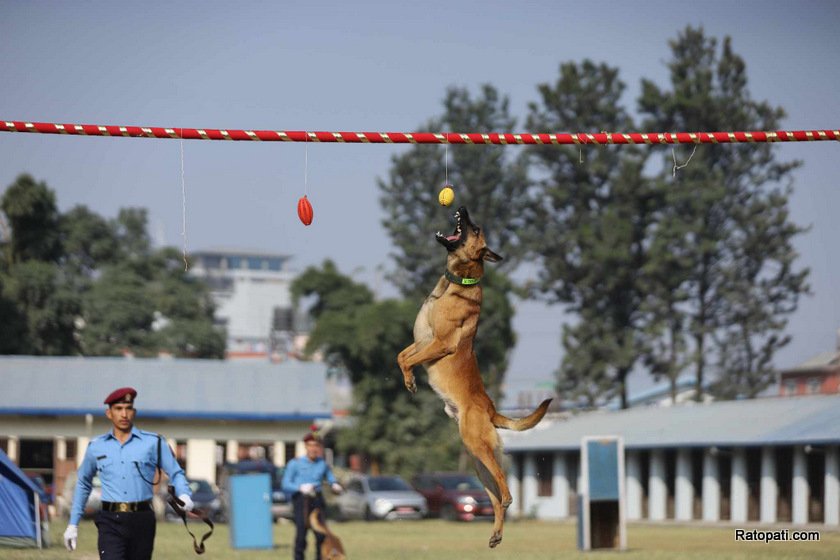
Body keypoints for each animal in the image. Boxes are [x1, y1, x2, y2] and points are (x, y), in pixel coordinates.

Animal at [398, 206, 556, 548]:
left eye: (476, 228)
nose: (462, 208)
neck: (459, 281)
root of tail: (492, 410)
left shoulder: (439, 343)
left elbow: (407, 360)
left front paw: (410, 380)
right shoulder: (422, 341)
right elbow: (402, 356)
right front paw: (409, 379)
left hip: (477, 447)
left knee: (504, 488)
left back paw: (507, 504)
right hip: (477, 460)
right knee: (494, 498)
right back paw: (496, 534)